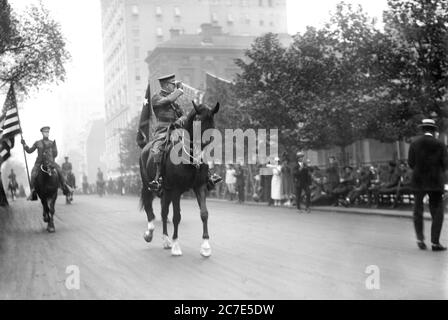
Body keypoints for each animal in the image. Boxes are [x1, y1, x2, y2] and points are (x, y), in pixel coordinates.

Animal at [138, 101, 219, 256]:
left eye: (212, 122)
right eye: (197, 120)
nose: (199, 159)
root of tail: (145, 148)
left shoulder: (199, 186)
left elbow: (204, 213)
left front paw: (205, 246)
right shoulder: (176, 190)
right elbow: (176, 217)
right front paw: (176, 246)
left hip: (166, 191)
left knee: (164, 212)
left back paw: (165, 240)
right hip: (148, 185)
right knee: (148, 205)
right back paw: (149, 232)